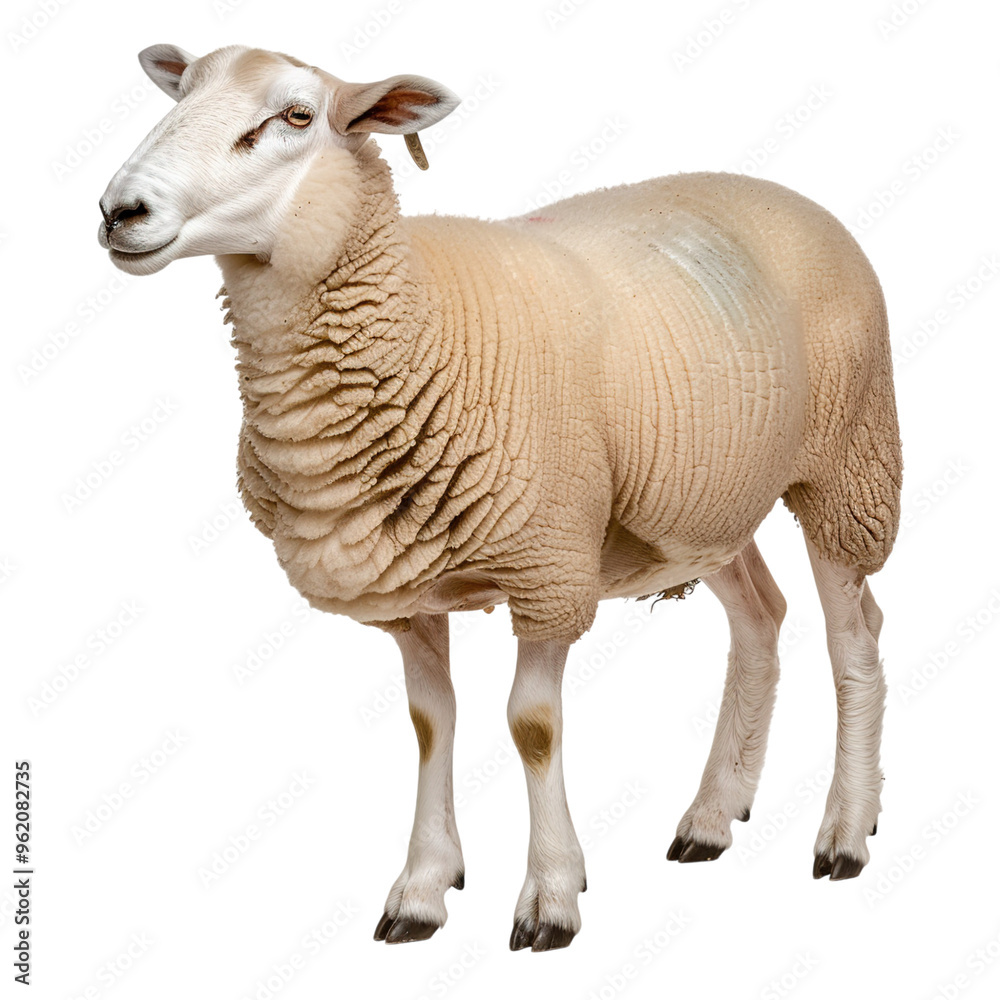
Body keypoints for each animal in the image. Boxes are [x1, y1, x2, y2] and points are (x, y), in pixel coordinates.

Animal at [98, 43, 902, 952]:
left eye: (296, 115)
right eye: (181, 95)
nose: (119, 211)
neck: (421, 320)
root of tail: (789, 193)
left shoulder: (549, 566)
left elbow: (531, 726)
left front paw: (551, 895)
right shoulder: (403, 588)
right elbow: (430, 722)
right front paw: (422, 886)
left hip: (847, 468)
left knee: (855, 639)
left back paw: (845, 832)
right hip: (702, 506)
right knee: (762, 620)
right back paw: (712, 814)